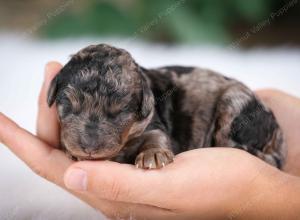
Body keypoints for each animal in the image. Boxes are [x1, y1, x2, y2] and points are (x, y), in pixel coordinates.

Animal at [47, 43, 286, 169]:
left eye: (119, 112)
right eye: (69, 105)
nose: (88, 148)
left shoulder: (154, 123)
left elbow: (156, 137)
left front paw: (153, 155)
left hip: (235, 107)